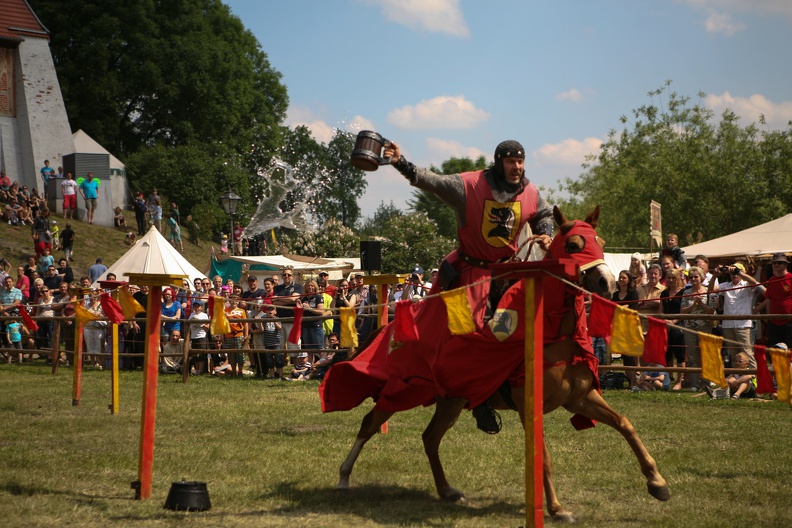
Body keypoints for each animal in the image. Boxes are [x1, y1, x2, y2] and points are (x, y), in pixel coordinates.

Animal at [322, 205, 668, 520]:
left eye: (600, 240)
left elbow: (625, 424)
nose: (607, 283)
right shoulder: (530, 406)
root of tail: (390, 326)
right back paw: (342, 477)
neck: (553, 334)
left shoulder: (581, 398)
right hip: (402, 389)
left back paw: (446, 490)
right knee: (371, 423)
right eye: (572, 245)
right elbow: (544, 457)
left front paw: (657, 483)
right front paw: (557, 509)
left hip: (452, 399)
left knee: (430, 438)